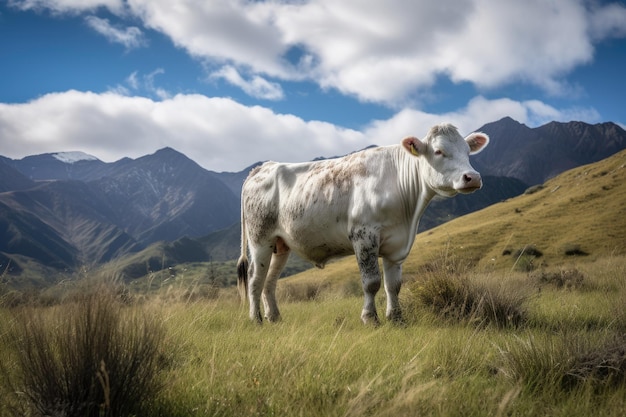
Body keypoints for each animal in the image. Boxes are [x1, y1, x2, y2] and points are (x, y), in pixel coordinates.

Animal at [236, 122, 486, 324]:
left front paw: (396, 318)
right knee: (255, 279)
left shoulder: (397, 244)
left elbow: (394, 285)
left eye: (467, 151)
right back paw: (255, 319)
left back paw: (274, 317)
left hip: (280, 244)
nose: (472, 177)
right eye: (438, 151)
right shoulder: (364, 236)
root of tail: (263, 167)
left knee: (269, 281)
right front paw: (370, 318)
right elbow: (372, 282)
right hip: (260, 239)